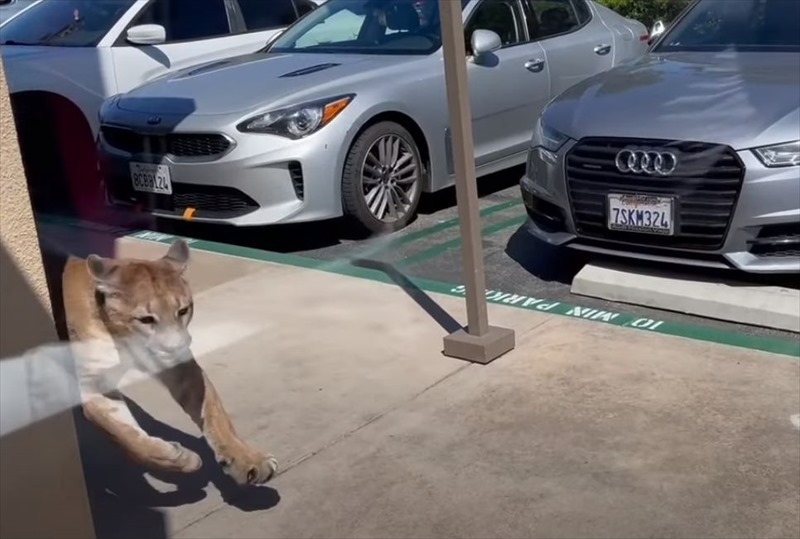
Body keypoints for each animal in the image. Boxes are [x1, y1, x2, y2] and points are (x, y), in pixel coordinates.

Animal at [61, 239, 278, 486]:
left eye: (183, 310)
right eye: (146, 319)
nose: (175, 347)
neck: (121, 336)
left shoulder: (180, 368)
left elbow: (215, 414)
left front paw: (248, 459)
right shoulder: (93, 383)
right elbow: (124, 433)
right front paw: (179, 459)